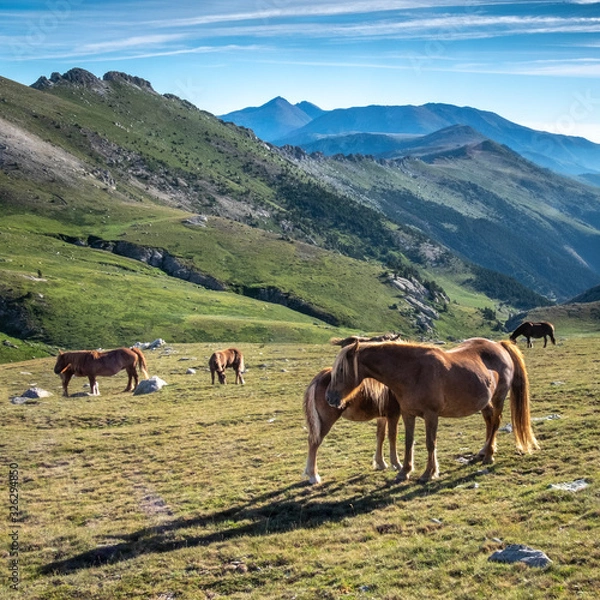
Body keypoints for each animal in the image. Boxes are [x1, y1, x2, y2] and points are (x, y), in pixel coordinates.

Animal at [328, 338, 540, 482]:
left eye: (341, 370)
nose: (329, 398)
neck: (412, 372)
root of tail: (499, 345)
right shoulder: (408, 414)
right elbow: (409, 442)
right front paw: (404, 471)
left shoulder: (431, 415)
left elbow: (431, 443)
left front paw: (429, 473)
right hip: (485, 402)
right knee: (489, 422)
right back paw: (483, 451)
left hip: (498, 398)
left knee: (495, 422)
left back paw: (488, 456)